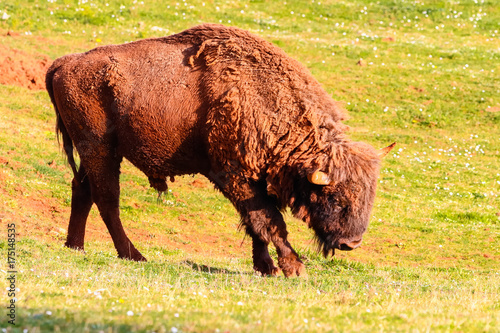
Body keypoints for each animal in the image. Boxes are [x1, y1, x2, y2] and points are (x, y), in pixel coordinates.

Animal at [46, 24, 394, 278]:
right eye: (334, 196)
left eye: (369, 194)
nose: (351, 242)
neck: (267, 99)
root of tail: (64, 63)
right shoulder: (234, 175)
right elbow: (268, 220)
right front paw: (294, 268)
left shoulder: (249, 181)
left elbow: (255, 223)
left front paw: (265, 268)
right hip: (100, 149)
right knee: (107, 199)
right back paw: (134, 256)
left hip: (95, 154)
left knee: (83, 190)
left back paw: (75, 247)